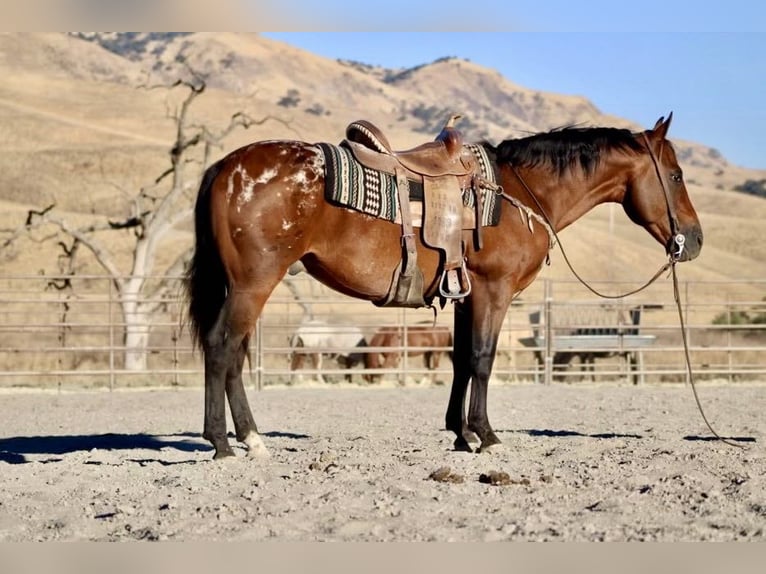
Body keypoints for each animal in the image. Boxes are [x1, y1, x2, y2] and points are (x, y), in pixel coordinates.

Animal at [185, 113, 702, 459]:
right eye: (676, 175)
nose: (693, 239)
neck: (520, 191)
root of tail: (225, 167)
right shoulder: (494, 291)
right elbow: (482, 359)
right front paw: (486, 436)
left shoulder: (465, 296)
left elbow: (460, 361)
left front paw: (460, 432)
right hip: (254, 283)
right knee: (222, 346)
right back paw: (225, 443)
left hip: (246, 286)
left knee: (233, 354)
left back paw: (249, 438)